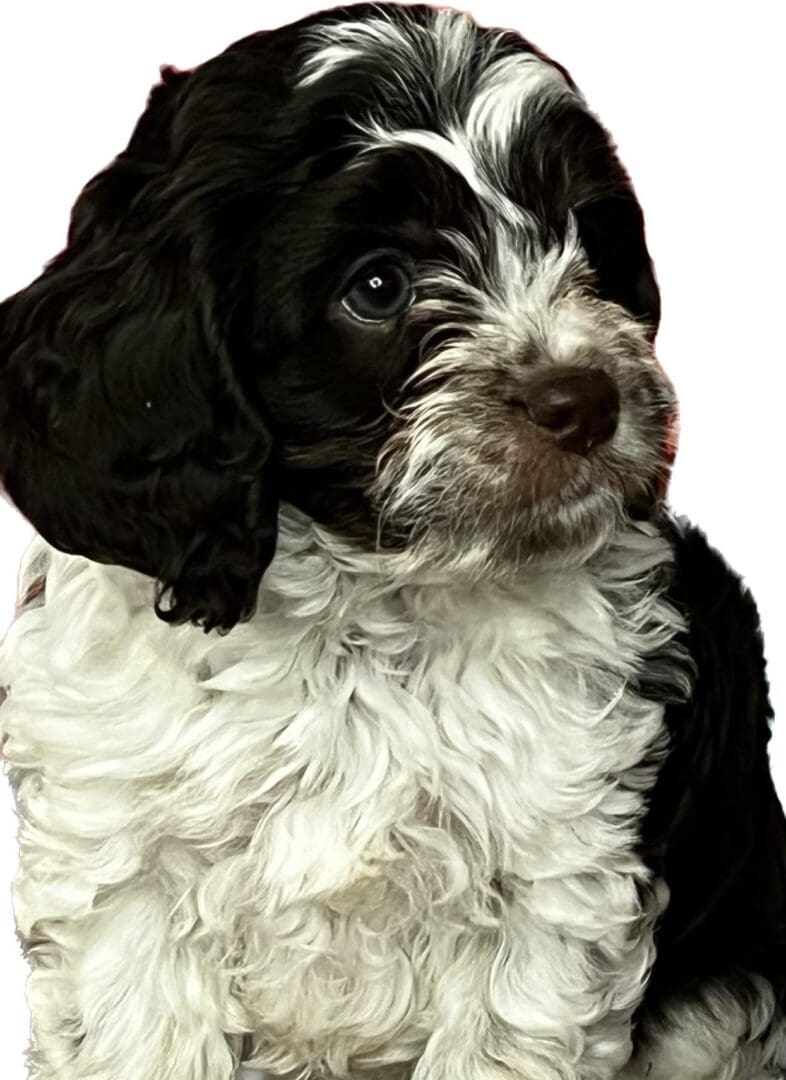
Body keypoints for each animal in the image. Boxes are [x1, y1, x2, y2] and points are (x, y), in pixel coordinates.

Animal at [1, 2, 786, 1080]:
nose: (586, 398)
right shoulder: (122, 872)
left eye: (585, 236)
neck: (365, 611)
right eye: (378, 287)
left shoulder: (555, 879)